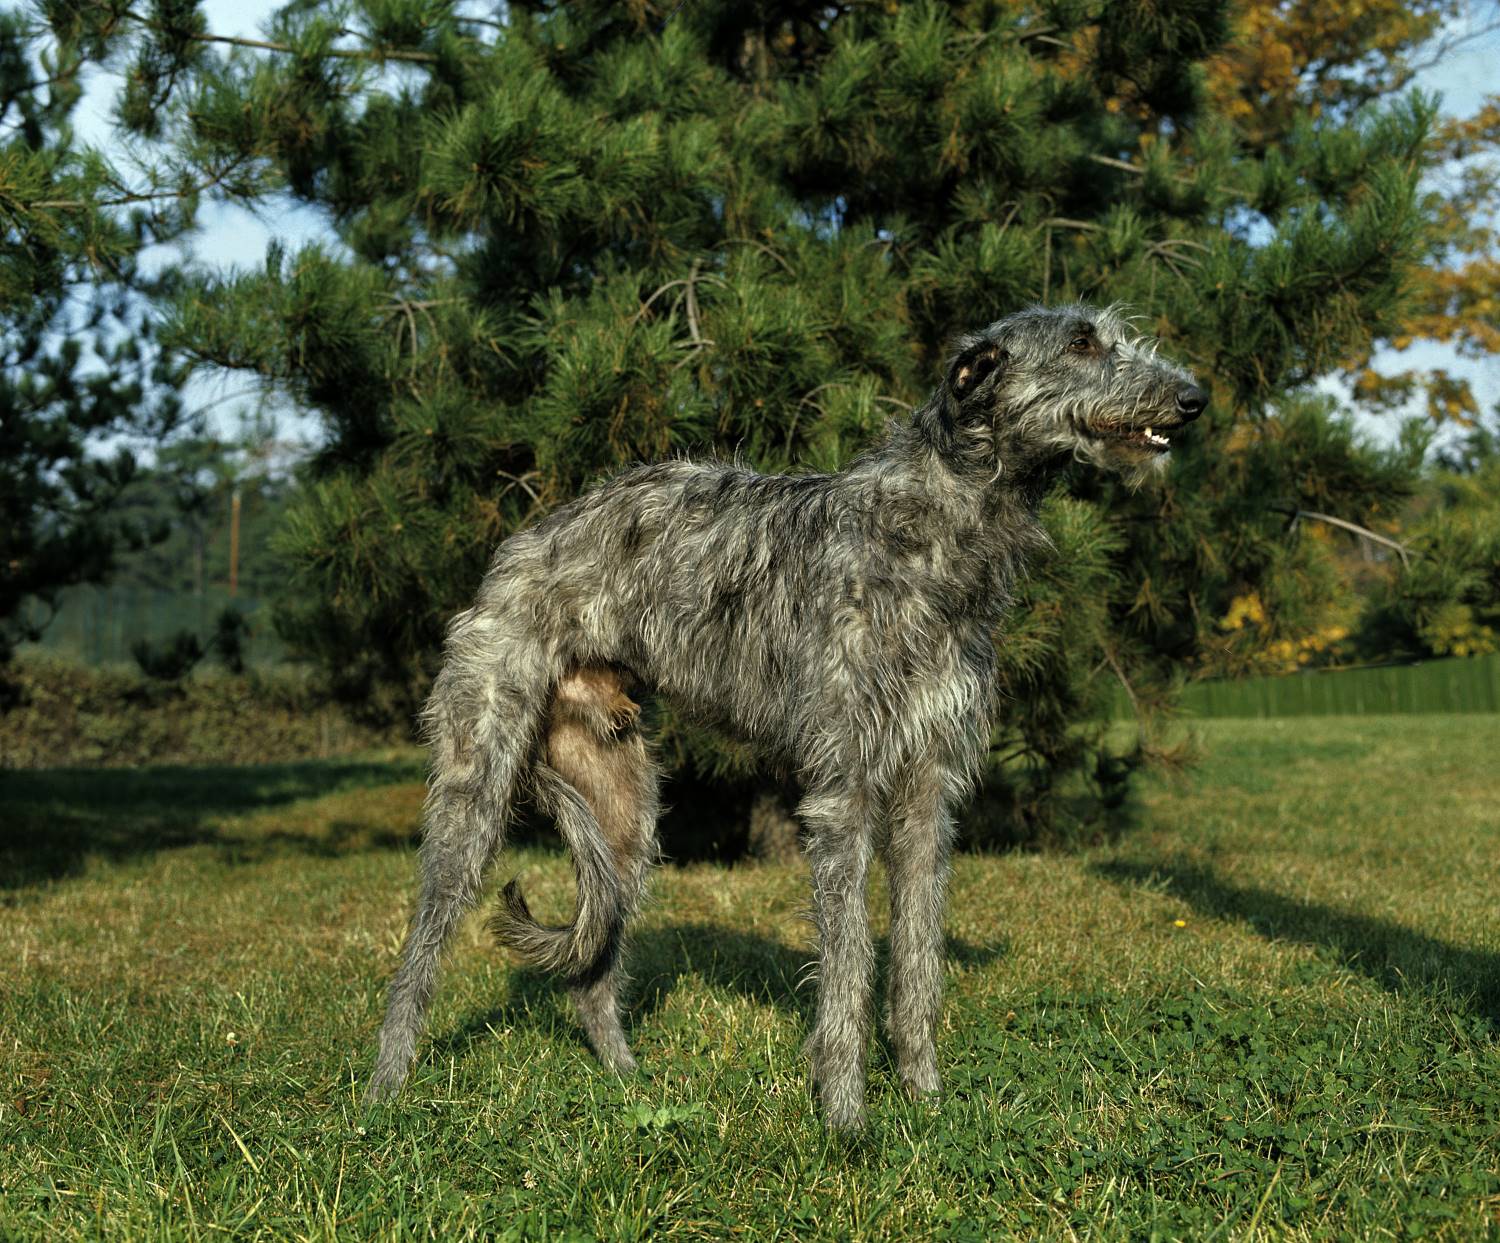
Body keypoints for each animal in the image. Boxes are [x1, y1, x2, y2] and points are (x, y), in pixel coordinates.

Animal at [372, 301, 1206, 1127]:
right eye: (1083, 343)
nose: (1194, 397)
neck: (938, 526)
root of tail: (518, 545)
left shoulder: (928, 786)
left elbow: (918, 955)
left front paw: (925, 1096)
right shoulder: (844, 788)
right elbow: (849, 962)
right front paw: (846, 1118)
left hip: (623, 811)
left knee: (594, 959)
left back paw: (626, 1079)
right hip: (478, 781)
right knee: (423, 944)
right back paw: (385, 1090)